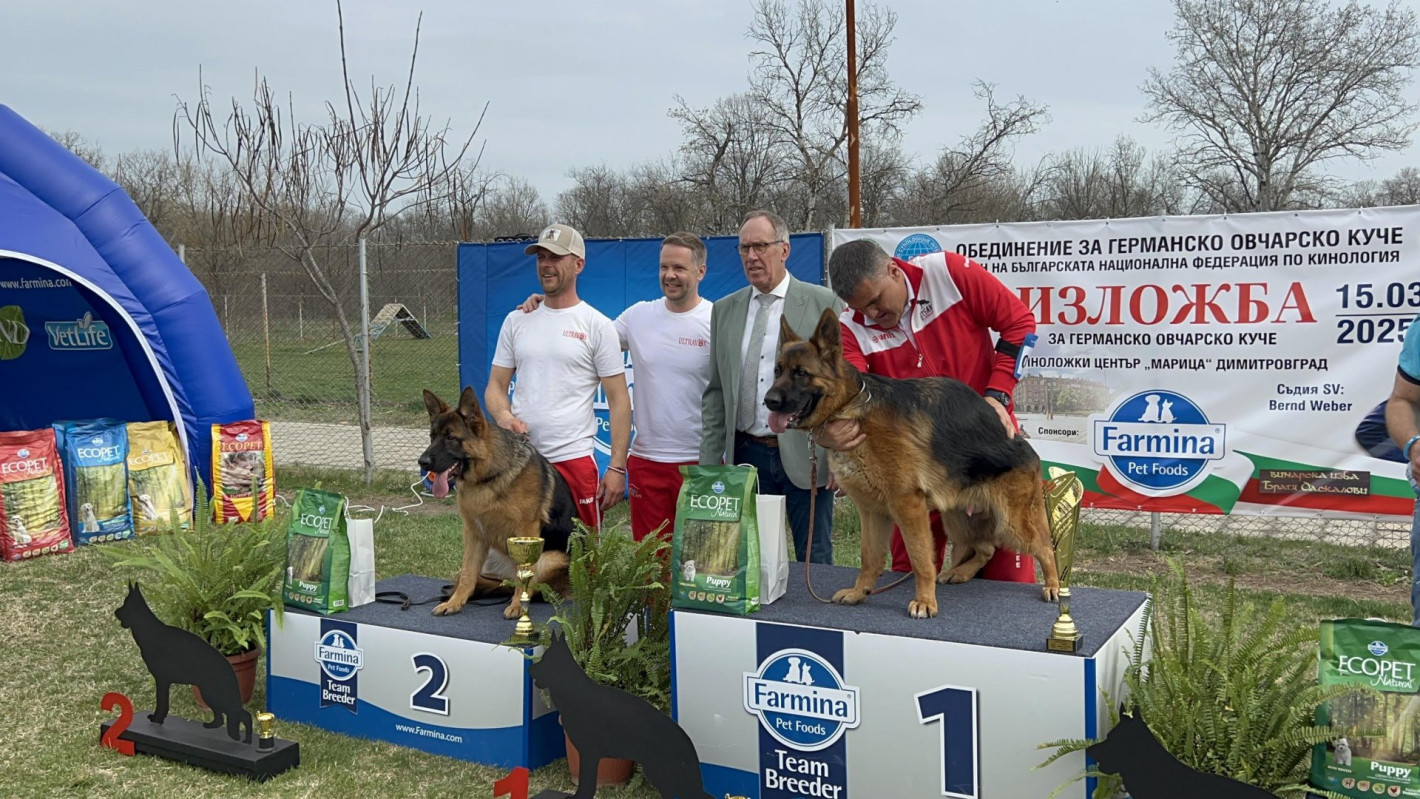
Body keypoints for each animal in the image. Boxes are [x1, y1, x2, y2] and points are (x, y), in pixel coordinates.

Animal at [417, 388, 573, 618]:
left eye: (451, 438)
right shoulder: (473, 534)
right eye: (432, 437)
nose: (422, 462)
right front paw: (455, 602)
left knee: (534, 585)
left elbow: (524, 575)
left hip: (550, 559)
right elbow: (467, 574)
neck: (488, 477)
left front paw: (517, 605)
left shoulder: (527, 531)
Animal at [766, 309, 1056, 621]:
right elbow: (870, 557)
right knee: (986, 549)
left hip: (1012, 523)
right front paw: (859, 592)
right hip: (957, 521)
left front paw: (925, 602)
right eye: (777, 371)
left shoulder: (907, 506)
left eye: (801, 373)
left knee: (1044, 547)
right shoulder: (872, 511)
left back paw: (1053, 586)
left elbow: (921, 560)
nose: (768, 401)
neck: (851, 408)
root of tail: (1025, 446)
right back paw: (959, 572)